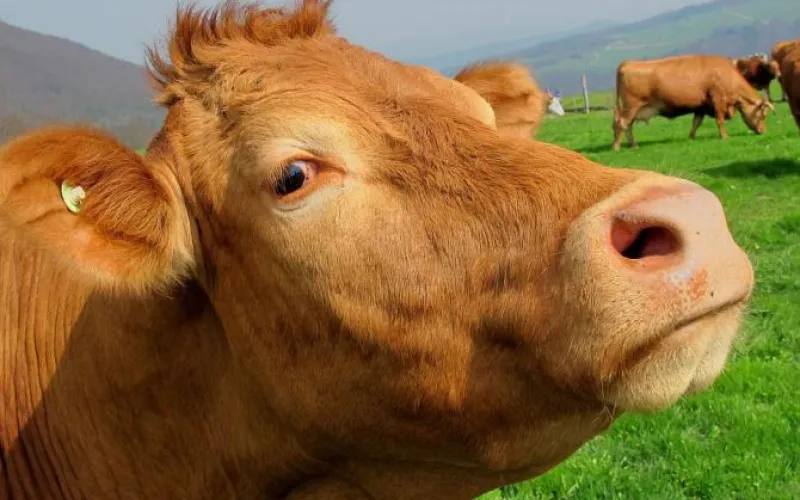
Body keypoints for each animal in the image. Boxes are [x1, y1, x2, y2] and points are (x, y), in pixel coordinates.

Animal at [612, 54, 774, 150]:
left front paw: (691, 137)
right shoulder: (717, 100)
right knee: (622, 124)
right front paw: (725, 136)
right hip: (631, 107)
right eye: (763, 115)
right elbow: (720, 120)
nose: (763, 131)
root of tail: (627, 63)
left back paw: (632, 145)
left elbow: (696, 122)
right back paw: (618, 146)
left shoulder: (701, 106)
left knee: (626, 126)